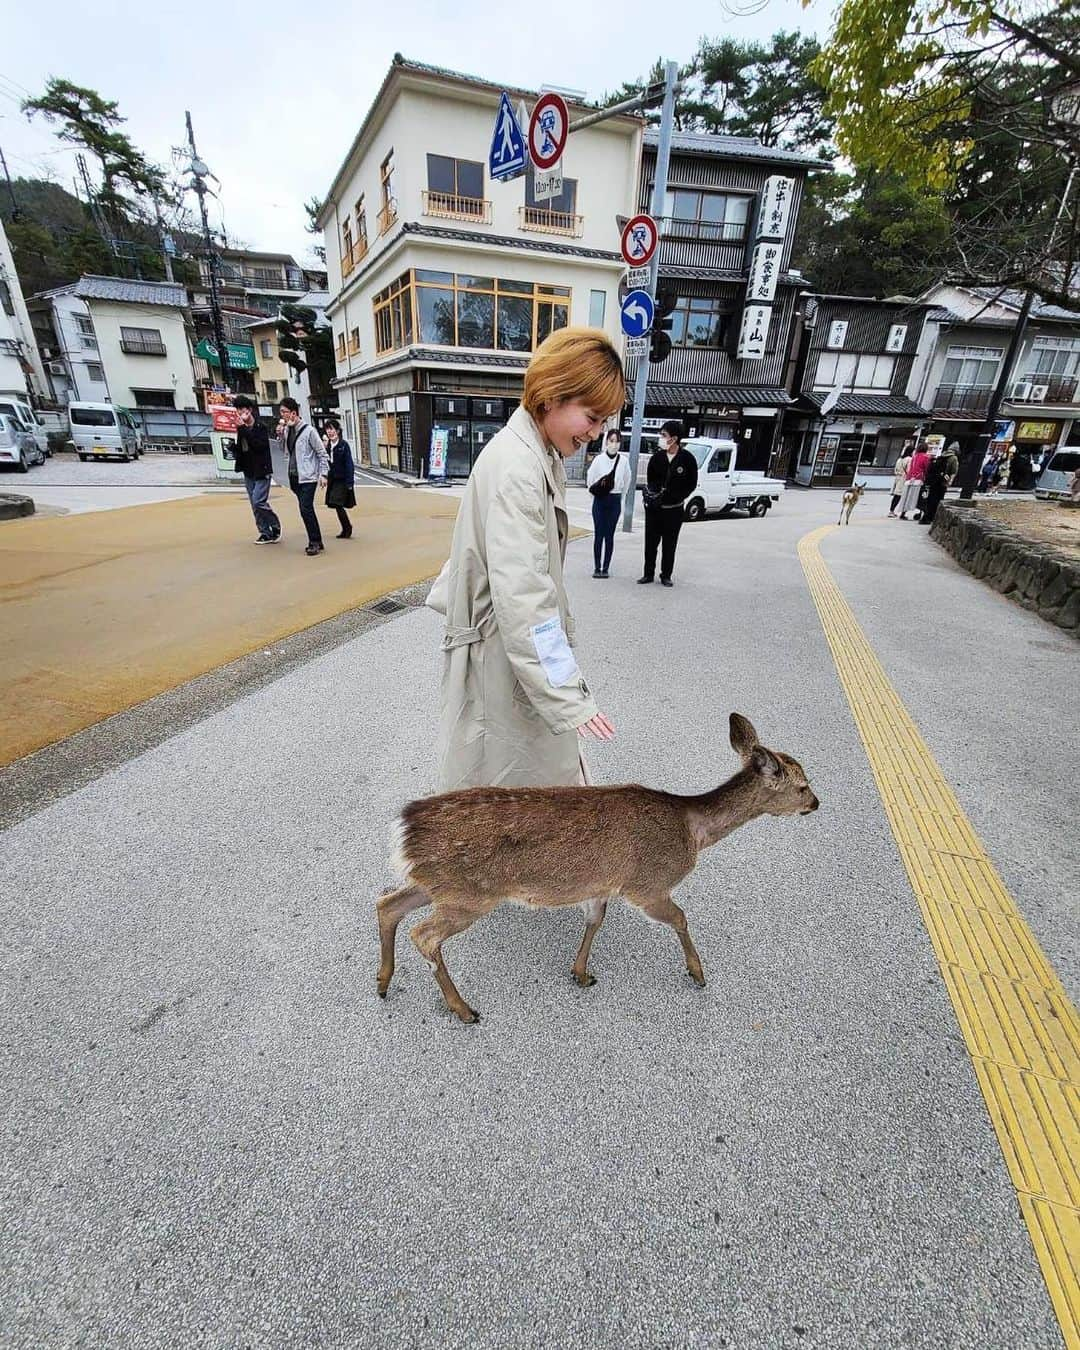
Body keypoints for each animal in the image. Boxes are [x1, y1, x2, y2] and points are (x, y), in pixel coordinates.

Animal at [380, 718, 820, 1020]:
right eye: (802, 785)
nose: (816, 803)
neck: (692, 830)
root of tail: (402, 828)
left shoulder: (602, 884)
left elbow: (595, 920)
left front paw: (581, 973)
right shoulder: (647, 884)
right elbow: (680, 917)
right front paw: (697, 973)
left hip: (436, 883)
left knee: (386, 904)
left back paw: (383, 981)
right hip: (469, 893)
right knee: (424, 935)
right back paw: (463, 1008)